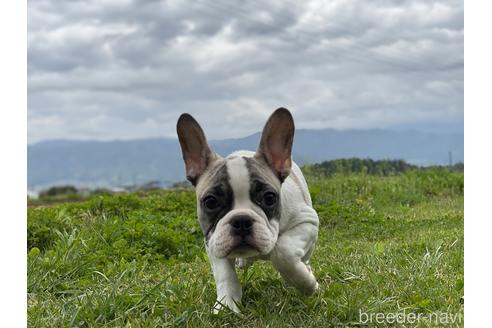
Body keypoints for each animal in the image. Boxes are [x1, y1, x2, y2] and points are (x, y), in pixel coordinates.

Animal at [177, 107, 320, 312]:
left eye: (269, 198)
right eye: (210, 202)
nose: (241, 220)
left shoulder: (307, 221)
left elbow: (283, 252)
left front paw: (306, 284)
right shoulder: (213, 240)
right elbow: (225, 274)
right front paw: (226, 305)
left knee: (302, 257)